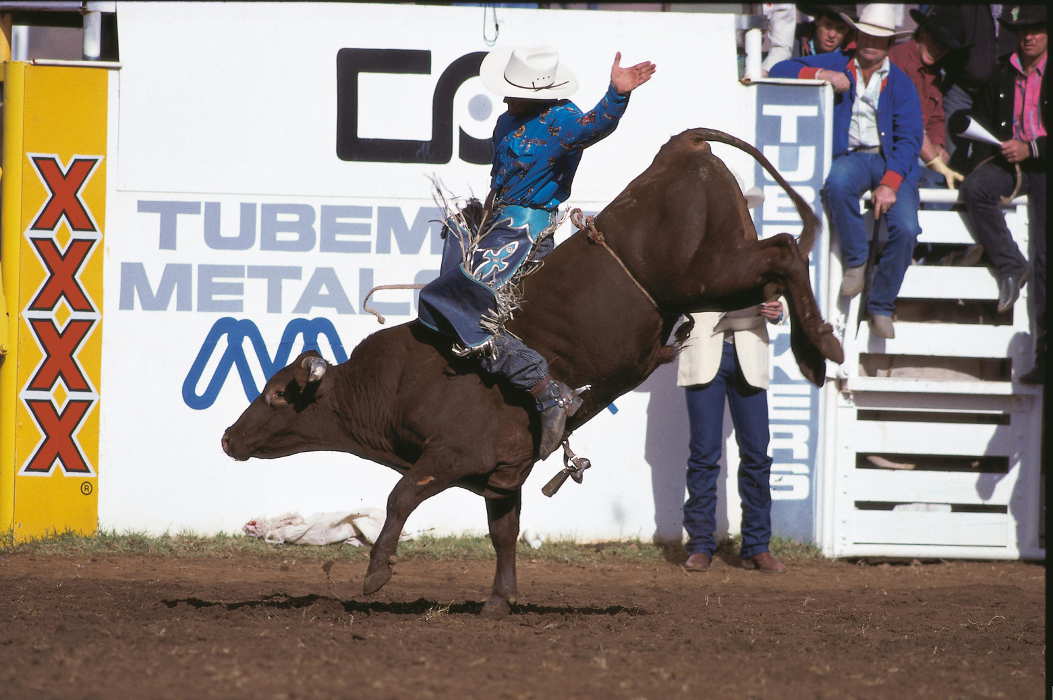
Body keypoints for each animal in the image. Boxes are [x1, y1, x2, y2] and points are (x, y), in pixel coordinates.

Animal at [224, 128, 846, 614]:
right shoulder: (502, 476)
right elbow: (503, 533)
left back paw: (822, 348)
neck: (391, 384)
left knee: (784, 250)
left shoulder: (446, 456)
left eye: (277, 393)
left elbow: (400, 497)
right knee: (778, 261)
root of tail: (680, 147)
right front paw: (499, 601)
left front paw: (376, 574)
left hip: (707, 273)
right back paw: (814, 350)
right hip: (721, 277)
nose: (229, 437)